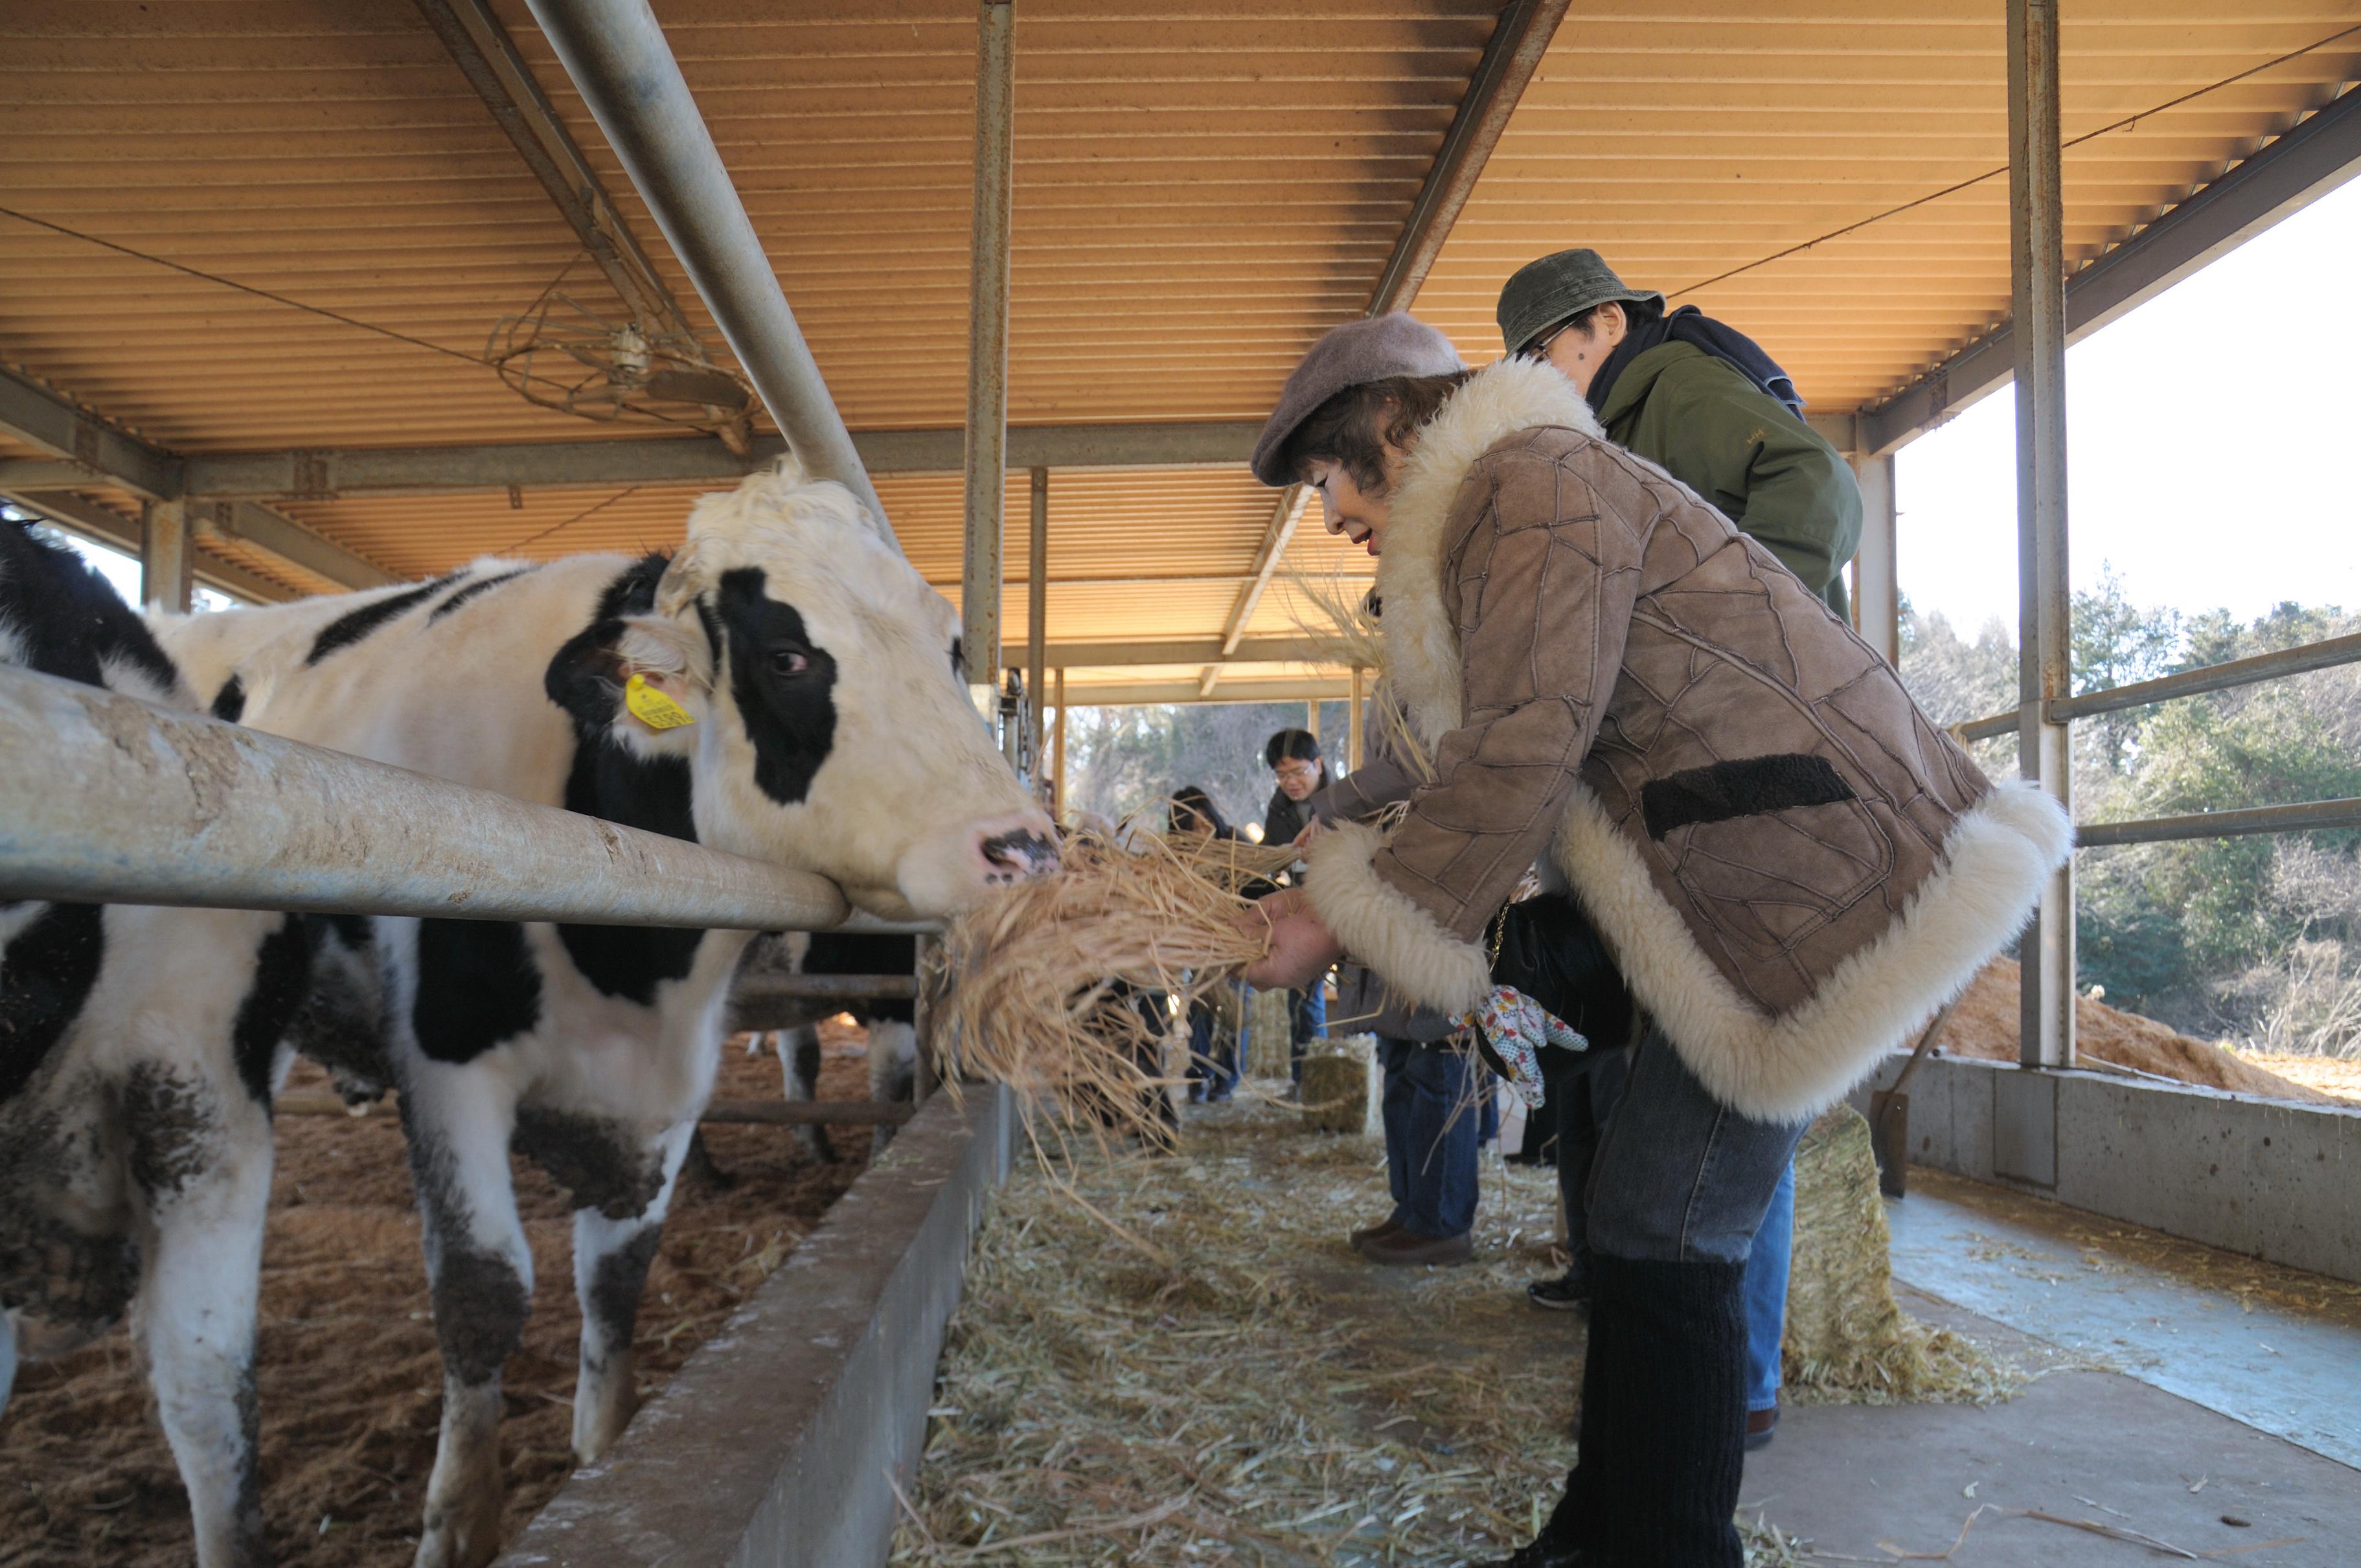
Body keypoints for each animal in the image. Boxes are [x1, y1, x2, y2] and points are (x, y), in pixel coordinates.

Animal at [164, 455, 1053, 1568]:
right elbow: (483, 1289)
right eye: (789, 655)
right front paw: (459, 1519)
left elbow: (621, 1272)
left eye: (949, 647)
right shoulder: (447, 1056)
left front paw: (603, 1441)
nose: (1024, 845)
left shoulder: (671, 1071)